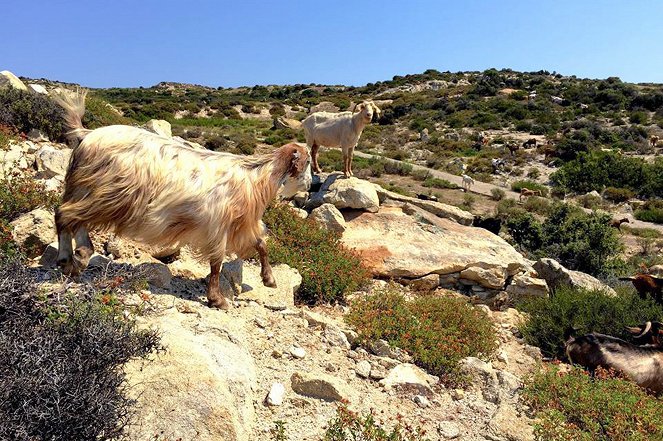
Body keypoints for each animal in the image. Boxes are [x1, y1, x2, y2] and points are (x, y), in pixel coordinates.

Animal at [52, 89, 312, 310]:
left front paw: (269, 279)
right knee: (64, 214)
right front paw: (217, 299)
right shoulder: (218, 225)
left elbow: (261, 244)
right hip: (104, 193)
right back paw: (67, 258)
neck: (255, 176)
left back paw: (81, 255)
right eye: (308, 161)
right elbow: (217, 262)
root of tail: (86, 135)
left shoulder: (240, 224)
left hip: (88, 191)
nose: (310, 184)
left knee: (73, 218)